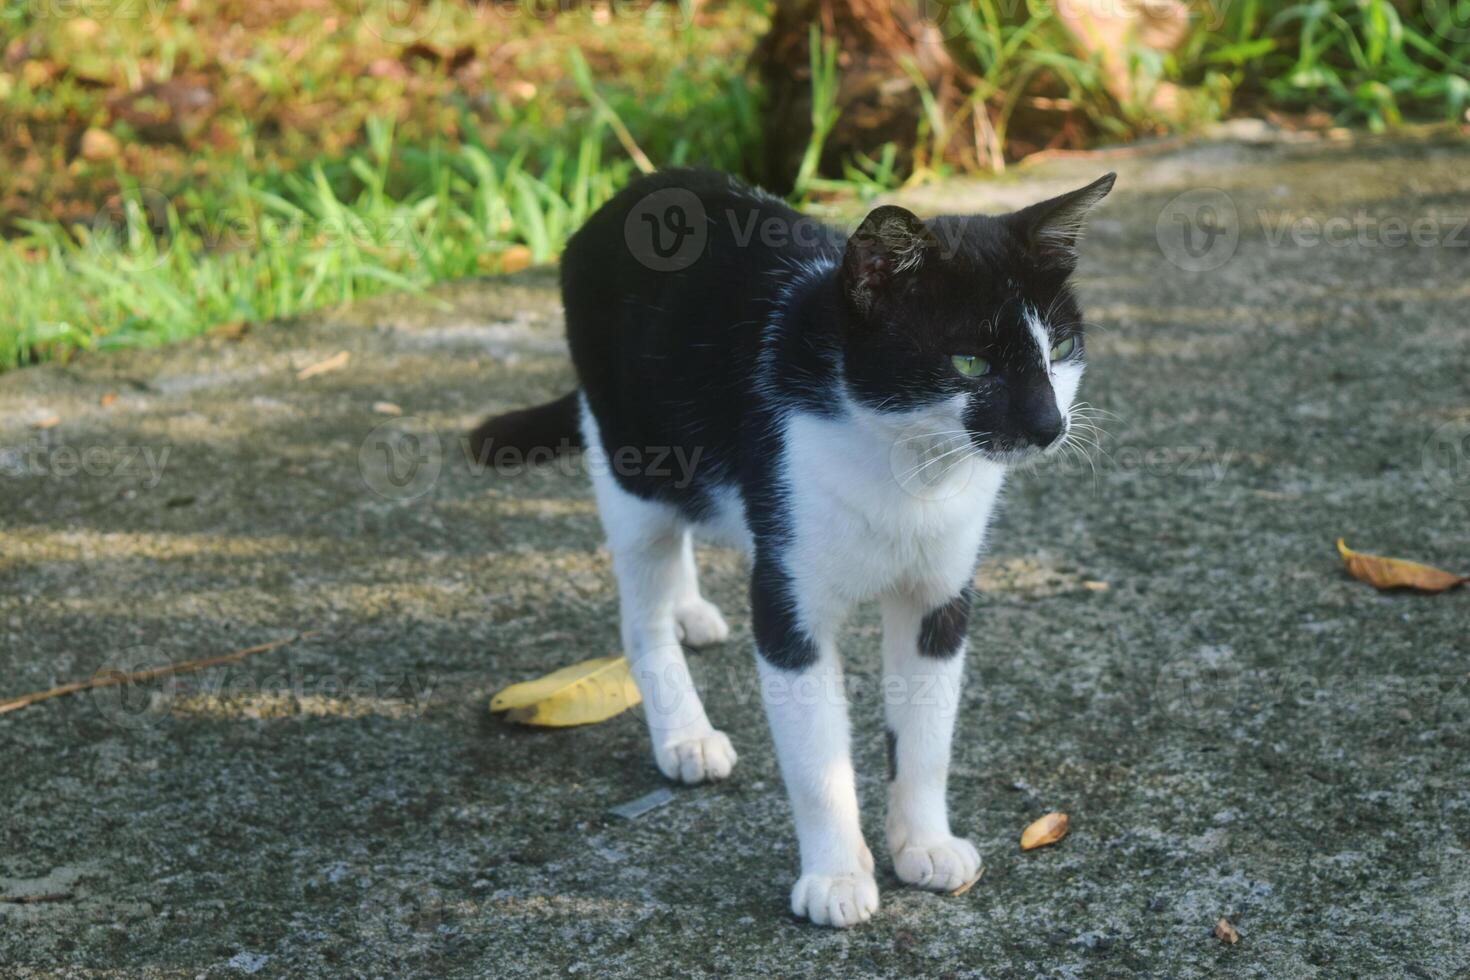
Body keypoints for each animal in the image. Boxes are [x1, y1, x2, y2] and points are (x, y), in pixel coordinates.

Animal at [473, 168, 1111, 928]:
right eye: (970, 363)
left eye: (1060, 351)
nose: (1049, 425)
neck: (907, 465)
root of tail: (634, 188)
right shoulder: (786, 592)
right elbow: (816, 758)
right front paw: (836, 878)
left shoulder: (941, 595)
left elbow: (927, 733)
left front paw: (925, 845)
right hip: (631, 458)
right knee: (640, 604)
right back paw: (683, 730)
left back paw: (691, 610)